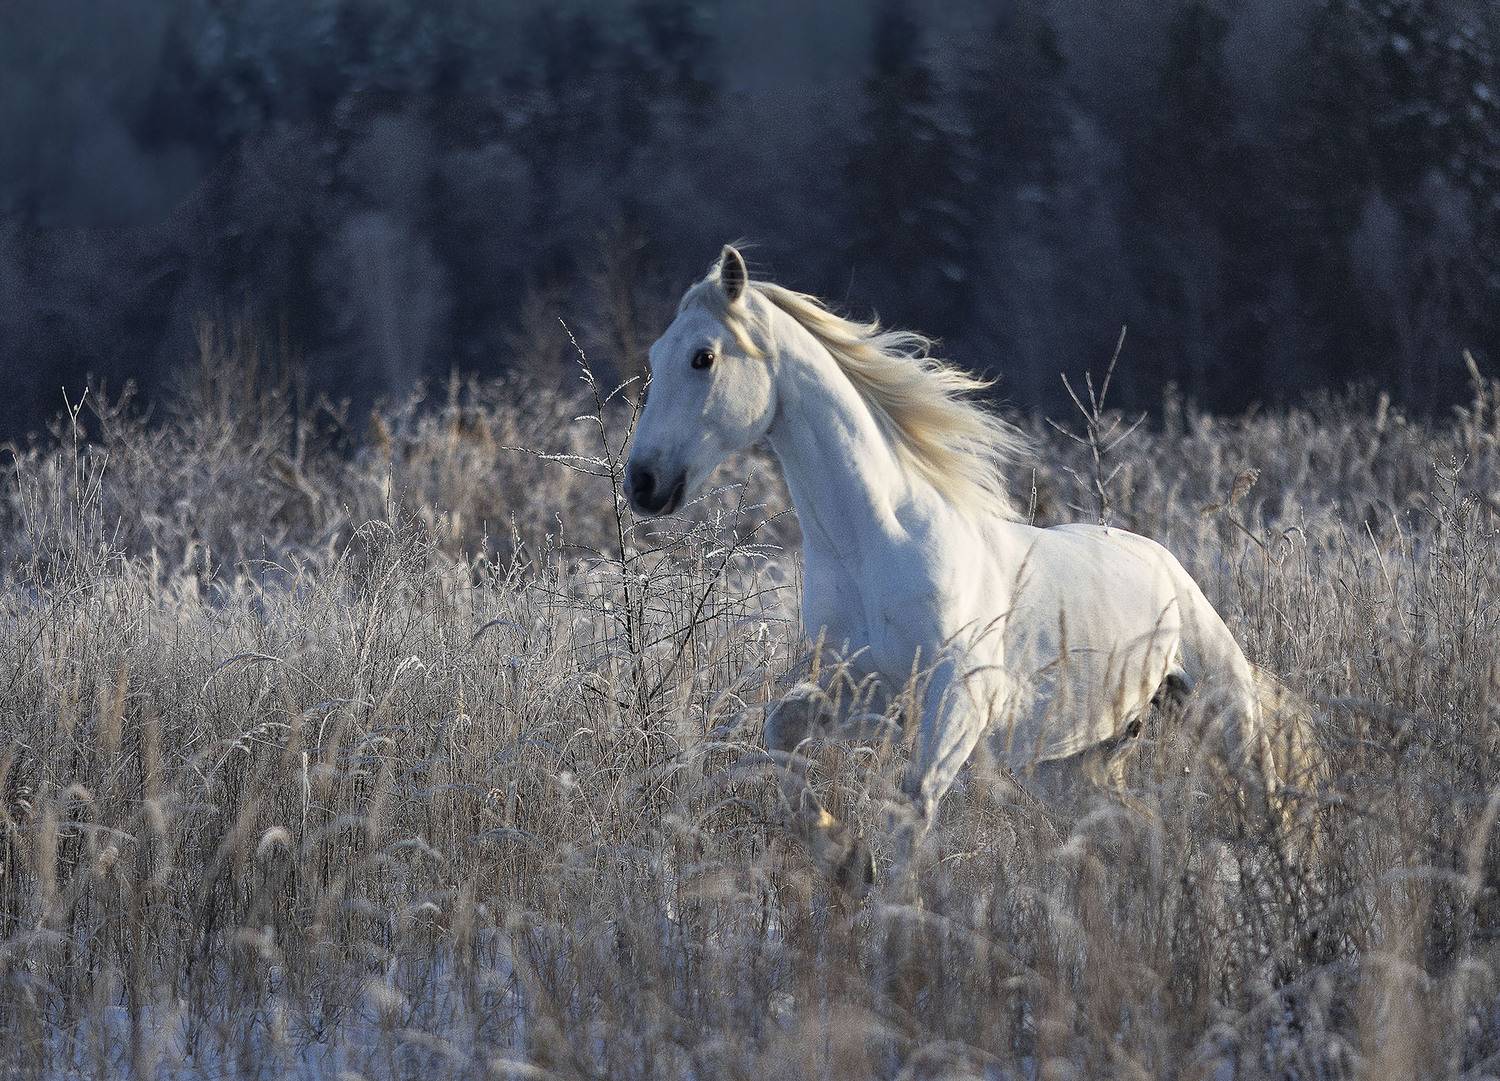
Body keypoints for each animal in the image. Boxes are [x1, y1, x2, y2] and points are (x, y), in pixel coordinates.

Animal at [624, 244, 1290, 888]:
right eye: (656, 354)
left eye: (703, 358)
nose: (643, 483)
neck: (873, 547)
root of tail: (1164, 561)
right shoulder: (860, 692)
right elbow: (780, 738)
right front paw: (844, 859)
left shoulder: (958, 701)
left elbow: (912, 808)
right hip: (1067, 764)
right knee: (1145, 832)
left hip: (1227, 718)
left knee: (1268, 811)